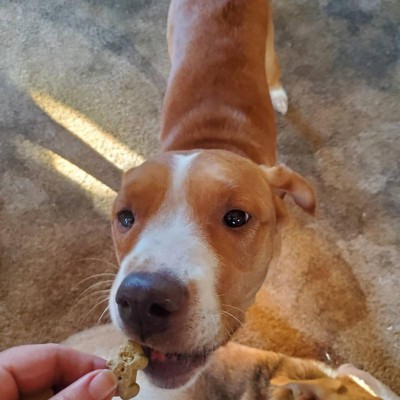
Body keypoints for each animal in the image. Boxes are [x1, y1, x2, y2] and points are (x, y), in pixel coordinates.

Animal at [65, 0, 399, 398]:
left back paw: (278, 94)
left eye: (237, 217)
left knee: (274, 71)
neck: (212, 141)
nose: (143, 300)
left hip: (268, 47)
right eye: (126, 217)